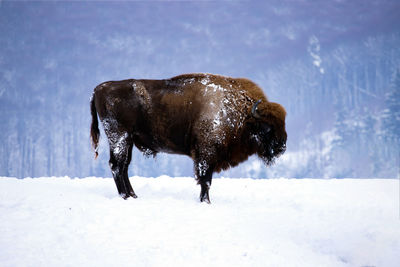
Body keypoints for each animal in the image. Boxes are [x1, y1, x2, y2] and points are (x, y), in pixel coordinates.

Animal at [90, 73, 286, 203]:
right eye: (267, 127)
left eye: (283, 123)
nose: (281, 147)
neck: (240, 113)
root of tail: (99, 88)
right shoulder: (206, 155)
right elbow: (205, 180)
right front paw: (206, 201)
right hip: (119, 137)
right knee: (116, 165)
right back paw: (125, 197)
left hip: (128, 140)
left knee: (124, 166)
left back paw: (133, 195)